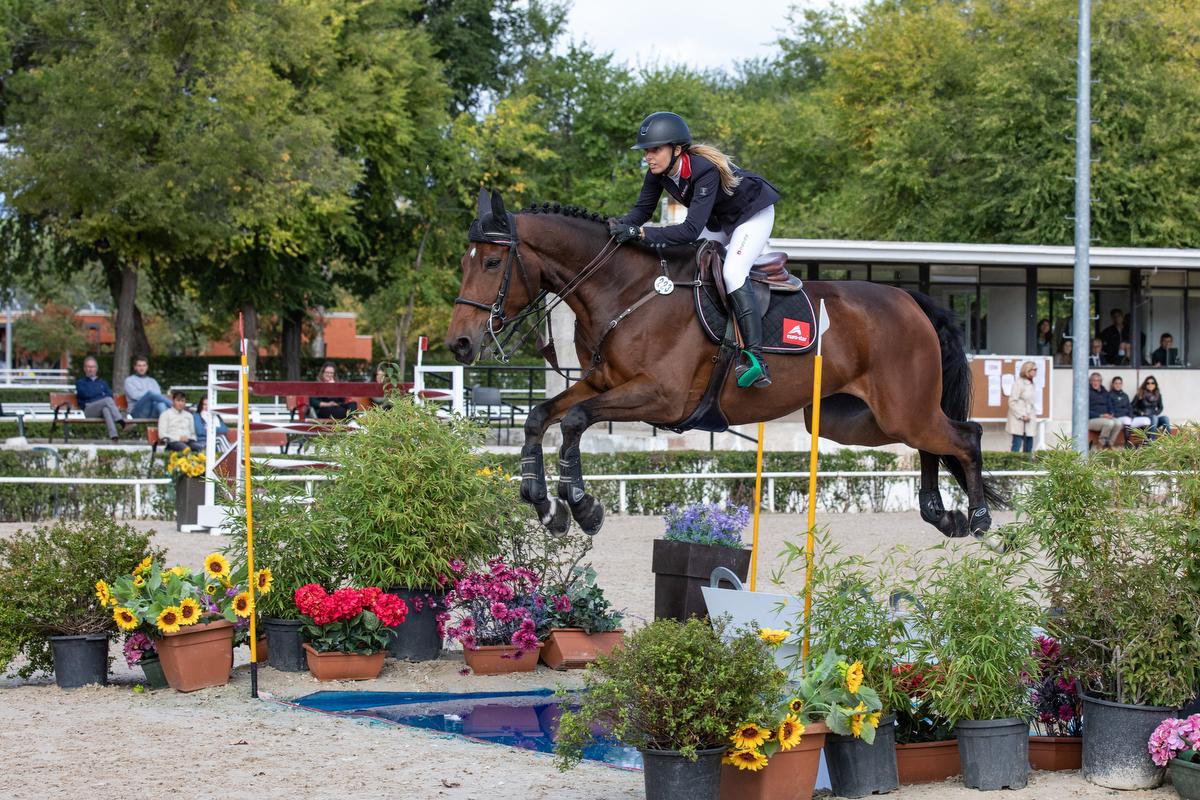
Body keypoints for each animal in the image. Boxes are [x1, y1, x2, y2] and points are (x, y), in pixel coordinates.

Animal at [444, 191, 1003, 544]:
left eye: (492, 263)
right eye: (465, 261)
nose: (460, 343)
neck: (624, 291)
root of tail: (910, 300)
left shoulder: (660, 396)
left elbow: (576, 422)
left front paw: (582, 505)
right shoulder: (602, 383)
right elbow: (541, 418)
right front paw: (545, 506)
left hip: (898, 409)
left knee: (966, 436)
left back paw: (976, 519)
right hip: (860, 421)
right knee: (933, 443)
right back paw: (940, 514)